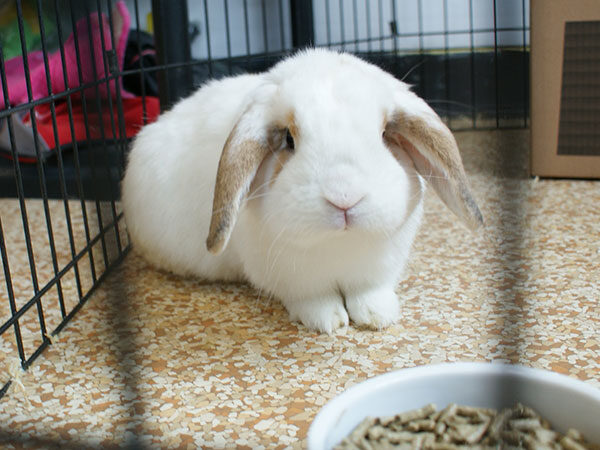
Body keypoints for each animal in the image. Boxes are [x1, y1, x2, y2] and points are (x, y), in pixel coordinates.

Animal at [122, 49, 482, 334]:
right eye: (289, 140)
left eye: (383, 135)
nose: (344, 198)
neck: (339, 245)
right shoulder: (296, 282)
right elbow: (315, 300)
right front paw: (329, 321)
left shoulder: (378, 271)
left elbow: (370, 293)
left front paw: (377, 316)